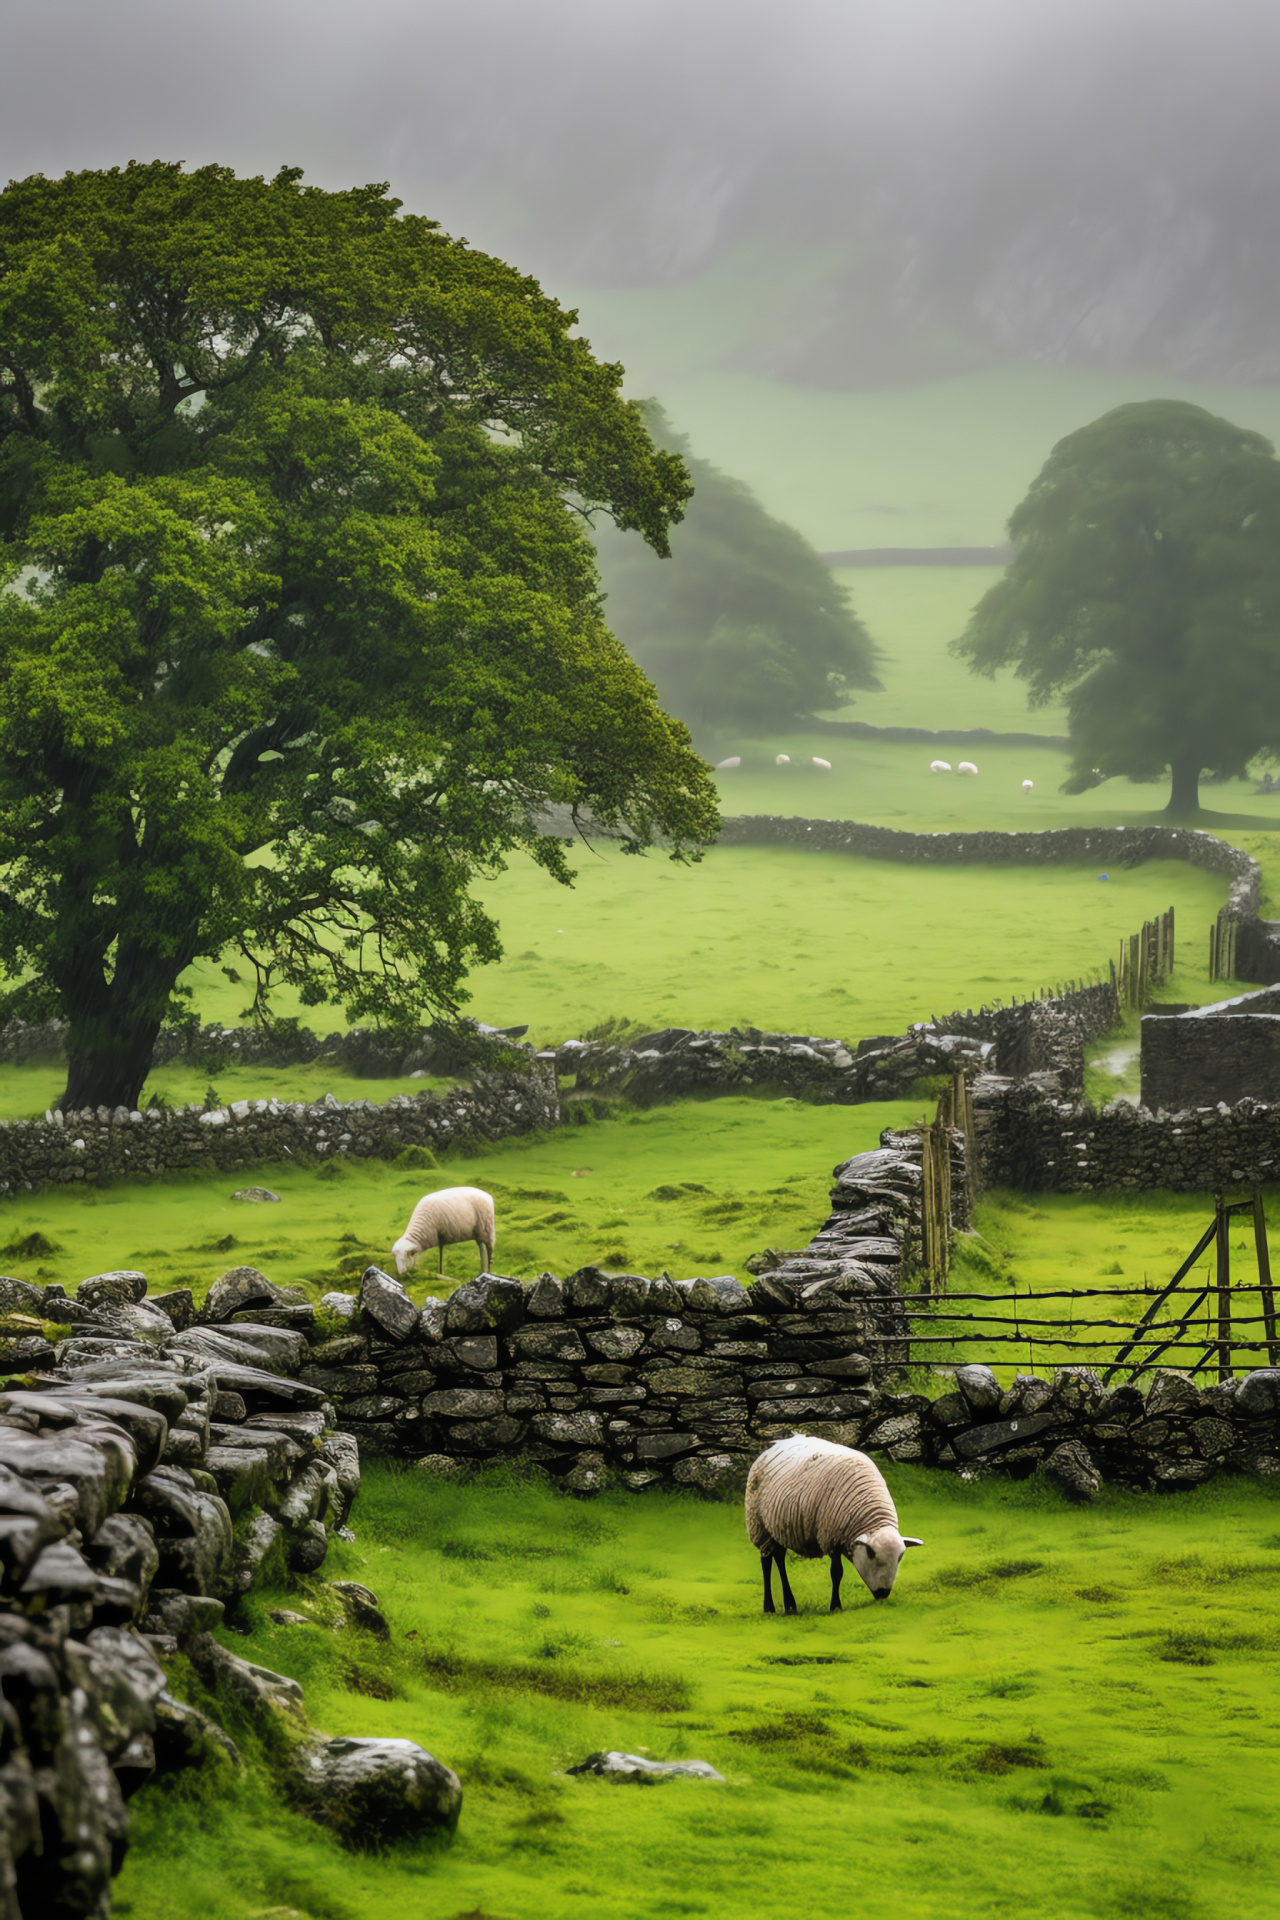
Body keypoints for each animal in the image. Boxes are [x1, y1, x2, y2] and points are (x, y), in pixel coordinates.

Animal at [740, 1436, 921, 1612]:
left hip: (777, 1527)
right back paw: (769, 1607)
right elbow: (836, 1573)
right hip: (759, 1525)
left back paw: (790, 1606)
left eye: (900, 1557)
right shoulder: (831, 1538)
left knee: (779, 1558)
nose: (883, 1593)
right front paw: (836, 1606)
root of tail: (775, 1444)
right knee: (766, 1562)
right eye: (871, 1554)